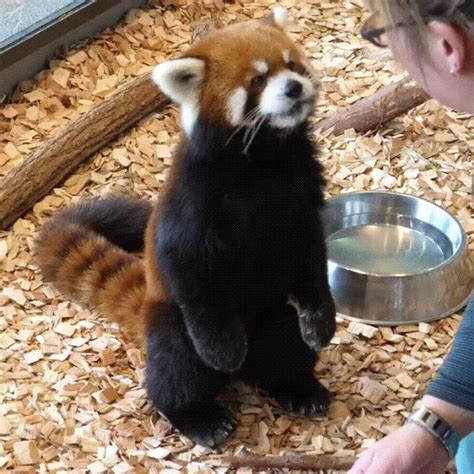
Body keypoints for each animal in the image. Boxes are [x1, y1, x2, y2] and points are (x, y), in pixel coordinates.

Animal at [35, 8, 336, 448]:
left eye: (293, 65)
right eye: (258, 80)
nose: (295, 87)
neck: (262, 159)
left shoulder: (301, 187)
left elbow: (309, 255)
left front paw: (320, 320)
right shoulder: (195, 201)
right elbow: (192, 271)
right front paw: (222, 350)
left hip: (274, 310)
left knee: (285, 347)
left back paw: (298, 387)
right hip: (170, 321)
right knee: (176, 369)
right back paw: (198, 416)